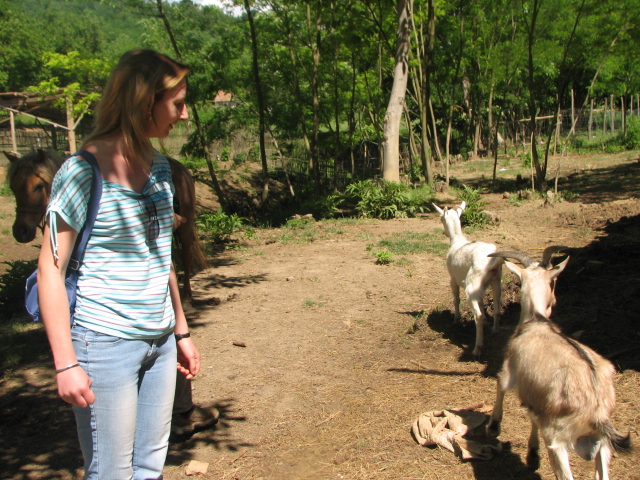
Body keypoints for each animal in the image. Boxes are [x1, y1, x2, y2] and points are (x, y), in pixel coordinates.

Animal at [433, 201, 503, 358]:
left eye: (441, 219)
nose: (444, 233)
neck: (457, 239)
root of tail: (493, 262)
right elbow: (482, 302)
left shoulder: (453, 278)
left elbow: (456, 299)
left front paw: (456, 319)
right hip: (496, 280)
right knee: (496, 307)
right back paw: (495, 330)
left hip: (471, 286)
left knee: (478, 315)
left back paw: (477, 349)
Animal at [487, 246, 630, 480]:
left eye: (553, 281)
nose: (553, 301)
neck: (536, 320)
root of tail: (597, 412)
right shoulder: (536, 399)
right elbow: (532, 416)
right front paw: (532, 454)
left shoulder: (512, 371)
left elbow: (501, 384)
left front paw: (494, 426)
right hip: (601, 444)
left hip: (557, 440)